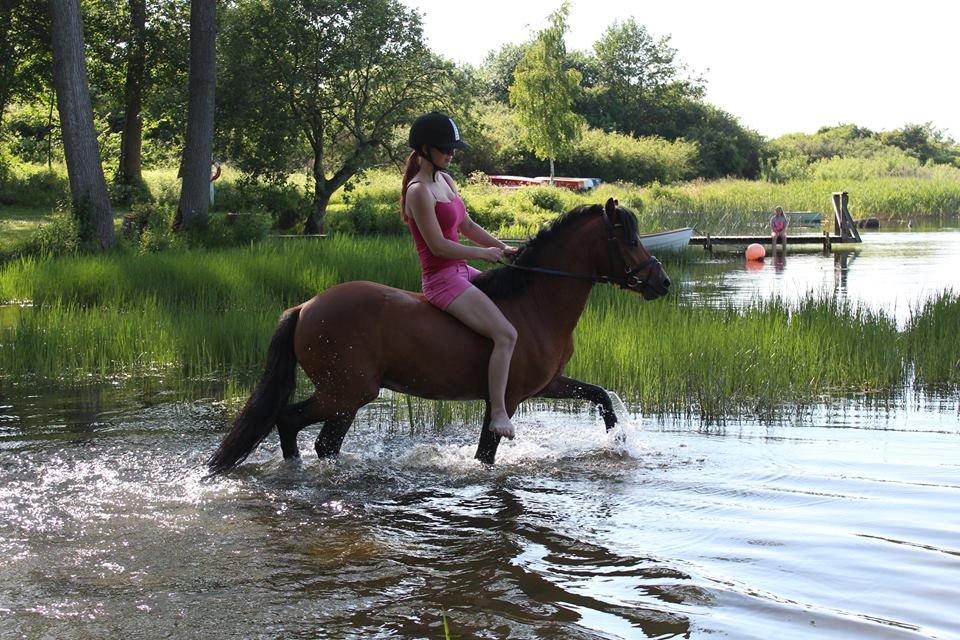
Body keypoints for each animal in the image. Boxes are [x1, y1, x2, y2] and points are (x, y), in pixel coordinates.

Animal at [207, 198, 671, 474]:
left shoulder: (548, 385)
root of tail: (306, 307)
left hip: (346, 397)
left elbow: (602, 397)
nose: (662, 282)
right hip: (345, 392)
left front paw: (617, 441)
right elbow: (485, 455)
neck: (536, 302)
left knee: (315, 437)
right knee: (292, 422)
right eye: (629, 238)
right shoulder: (505, 399)